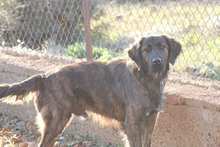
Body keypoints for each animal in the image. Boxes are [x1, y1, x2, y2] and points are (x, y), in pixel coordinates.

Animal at [0, 35, 181, 146]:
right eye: (146, 49)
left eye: (163, 47)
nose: (157, 61)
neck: (145, 79)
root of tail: (45, 76)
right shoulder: (132, 124)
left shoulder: (151, 121)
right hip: (57, 120)